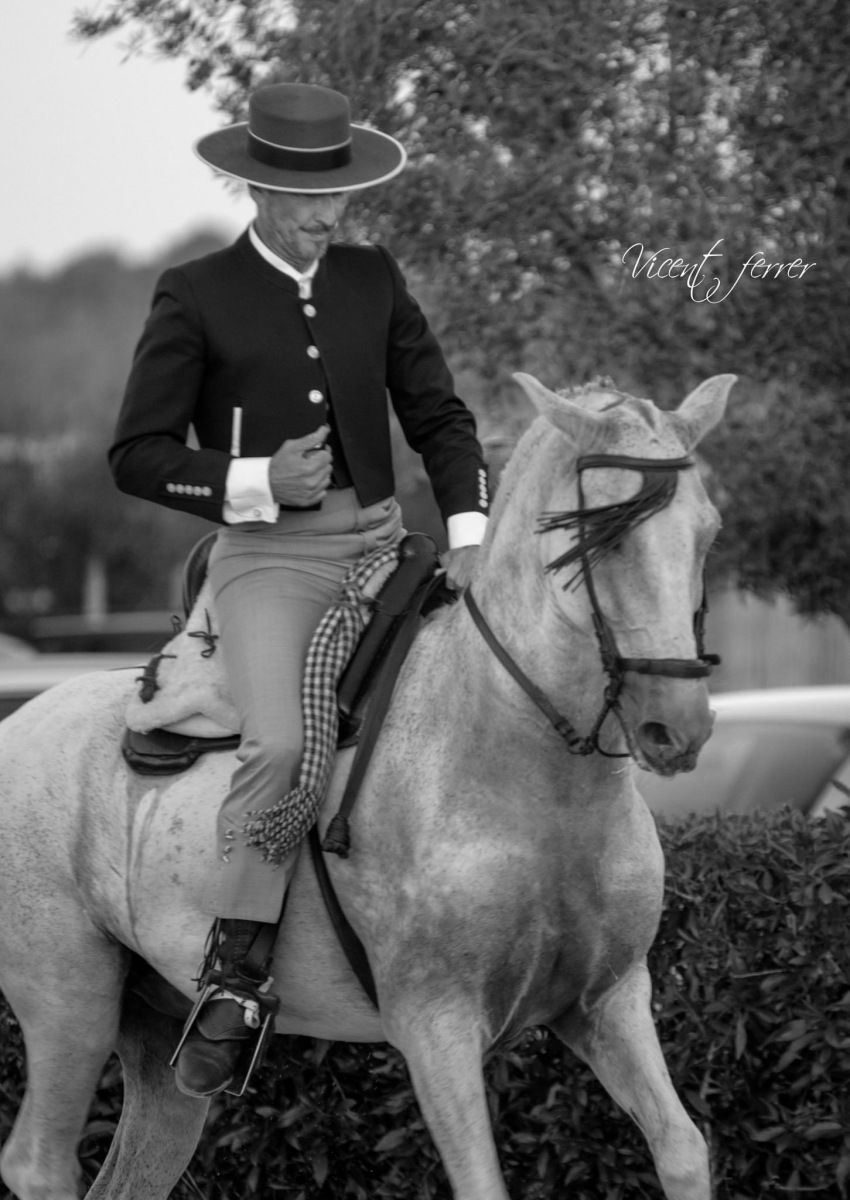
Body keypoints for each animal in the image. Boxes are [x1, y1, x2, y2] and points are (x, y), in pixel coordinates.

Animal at [0, 370, 735, 1200]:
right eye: (605, 537)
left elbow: (681, 1146)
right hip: (67, 1003)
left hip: (158, 1046)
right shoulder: (435, 1025)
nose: (678, 726)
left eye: (707, 533)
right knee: (39, 1163)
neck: (536, 777)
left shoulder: (609, 1001)